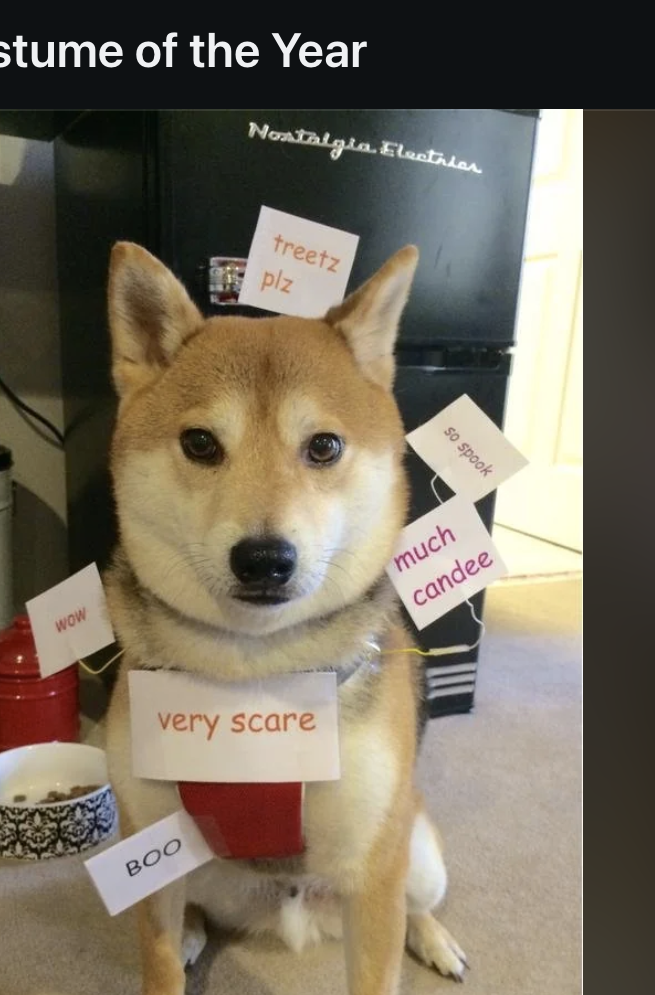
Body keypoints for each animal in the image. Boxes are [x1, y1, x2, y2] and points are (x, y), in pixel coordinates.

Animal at [105, 243, 468, 995]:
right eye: (200, 443)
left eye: (323, 446)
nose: (264, 559)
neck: (254, 673)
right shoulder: (149, 854)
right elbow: (158, 963)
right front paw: (173, 952)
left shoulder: (376, 869)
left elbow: (377, 968)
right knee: (198, 910)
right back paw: (195, 930)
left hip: (416, 850)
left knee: (418, 902)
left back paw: (434, 938)